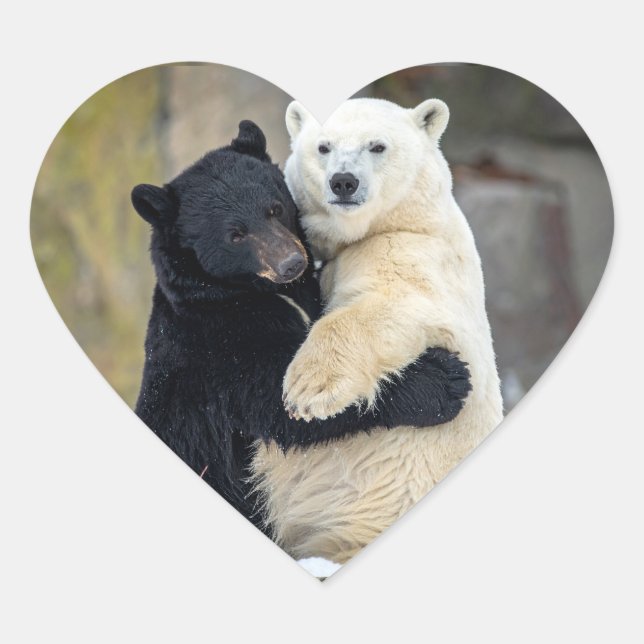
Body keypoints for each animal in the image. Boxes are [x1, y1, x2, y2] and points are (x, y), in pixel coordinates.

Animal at [131, 119, 472, 534]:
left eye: (274, 208)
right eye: (235, 234)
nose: (291, 263)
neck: (234, 292)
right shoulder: (214, 344)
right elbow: (279, 404)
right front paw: (444, 381)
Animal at [250, 99, 504, 564]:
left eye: (377, 146)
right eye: (323, 147)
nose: (343, 182)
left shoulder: (414, 253)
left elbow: (390, 305)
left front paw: (308, 392)